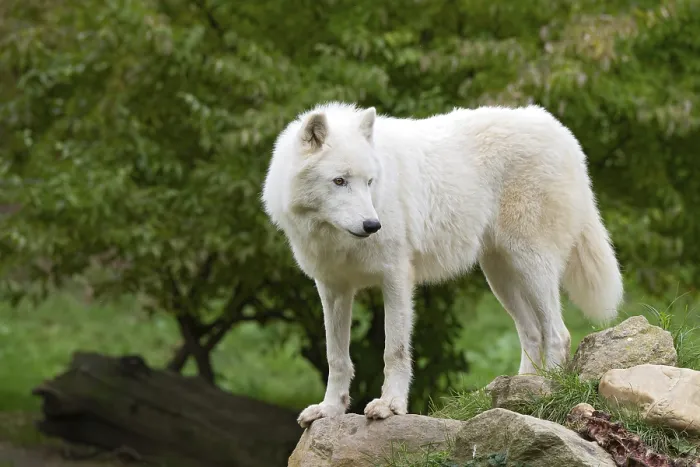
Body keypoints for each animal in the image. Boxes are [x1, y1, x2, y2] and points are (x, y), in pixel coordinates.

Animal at [261, 102, 623, 428]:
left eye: (369, 182)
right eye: (339, 181)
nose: (372, 225)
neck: (336, 238)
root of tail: (560, 131)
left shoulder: (395, 279)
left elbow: (394, 350)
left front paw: (390, 405)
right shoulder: (332, 289)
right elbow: (336, 357)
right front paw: (329, 410)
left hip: (531, 265)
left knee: (558, 334)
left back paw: (548, 391)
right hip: (500, 276)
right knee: (532, 333)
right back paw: (519, 394)